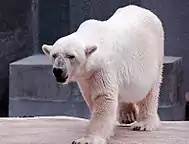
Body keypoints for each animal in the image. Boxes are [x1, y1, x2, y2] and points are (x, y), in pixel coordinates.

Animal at [41, 4, 164, 144]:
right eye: (54, 55)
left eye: (71, 56)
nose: (58, 70)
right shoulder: (86, 77)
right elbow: (91, 97)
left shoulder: (103, 68)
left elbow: (104, 98)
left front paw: (88, 139)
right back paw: (127, 115)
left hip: (154, 58)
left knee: (150, 92)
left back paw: (144, 123)